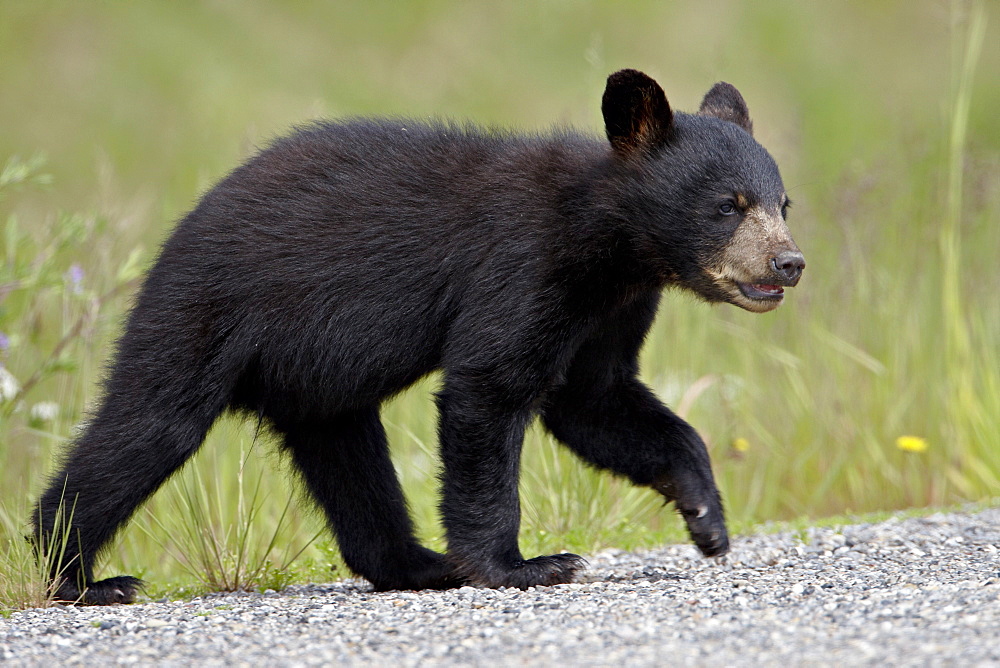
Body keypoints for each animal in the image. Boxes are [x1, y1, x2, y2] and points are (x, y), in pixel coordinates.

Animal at [35, 69, 808, 604]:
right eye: (728, 205)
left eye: (782, 202)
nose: (789, 263)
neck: (611, 245)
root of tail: (180, 229)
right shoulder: (524, 263)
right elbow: (489, 388)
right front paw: (525, 565)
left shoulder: (611, 309)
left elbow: (597, 401)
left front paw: (706, 517)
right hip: (200, 314)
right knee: (147, 427)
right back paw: (79, 578)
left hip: (316, 389)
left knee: (351, 462)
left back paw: (418, 564)